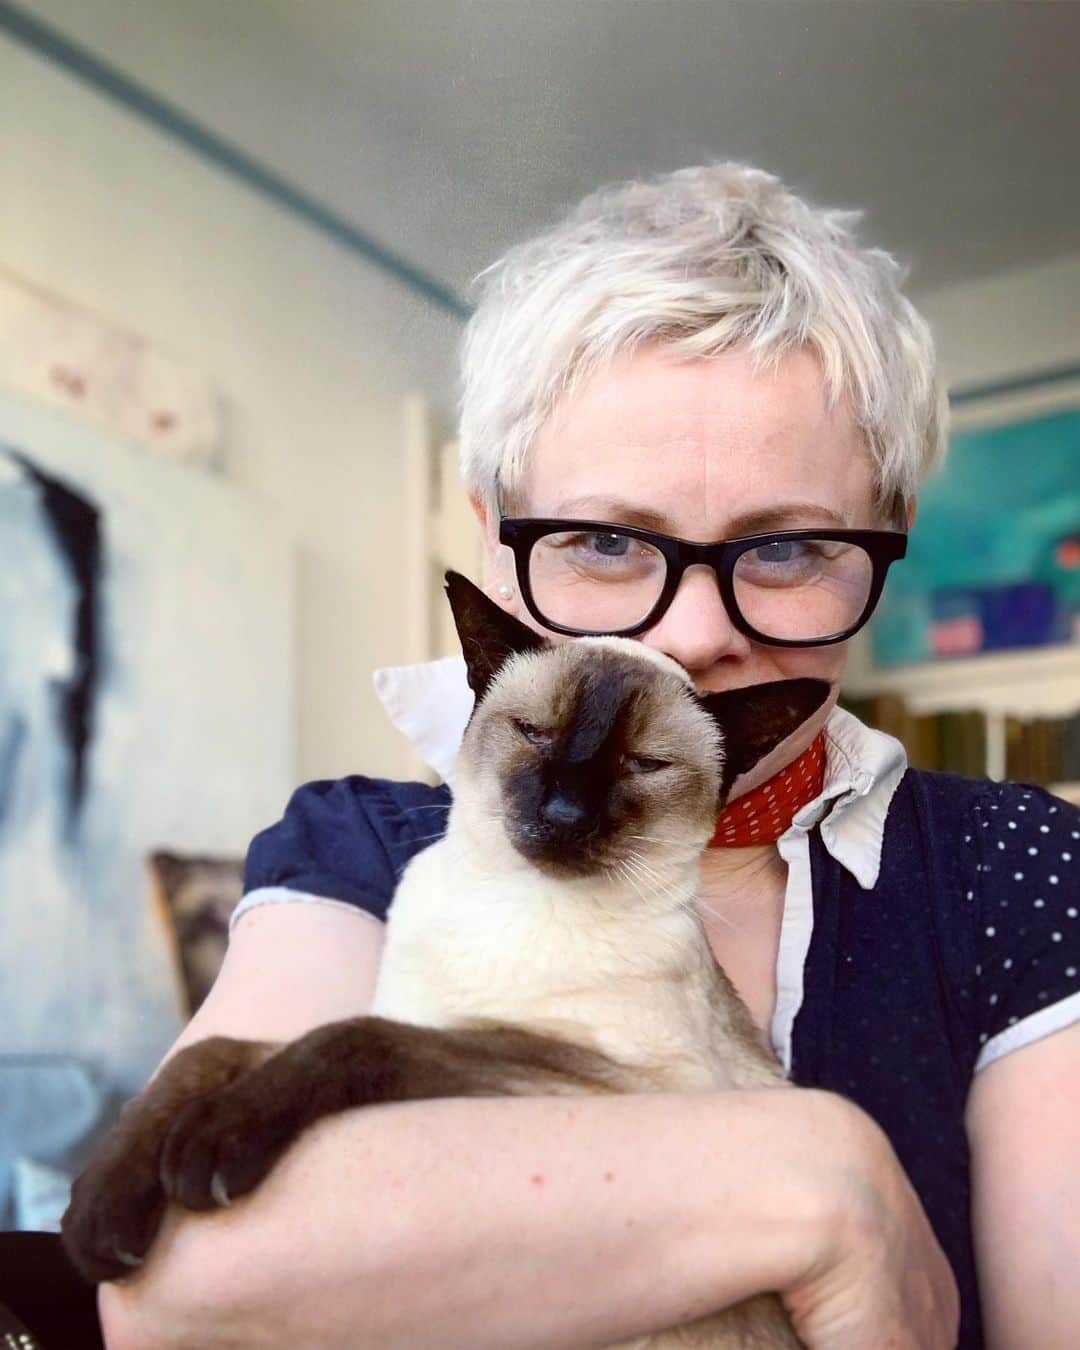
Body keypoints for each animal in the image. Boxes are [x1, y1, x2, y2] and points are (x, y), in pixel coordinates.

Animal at [63, 575, 820, 1344]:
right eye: (534, 733)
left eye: (645, 765)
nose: (565, 814)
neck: (511, 898)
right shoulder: (414, 1014)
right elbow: (209, 1052)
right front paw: (100, 1213)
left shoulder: (611, 1081)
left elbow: (354, 1040)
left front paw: (211, 1145)